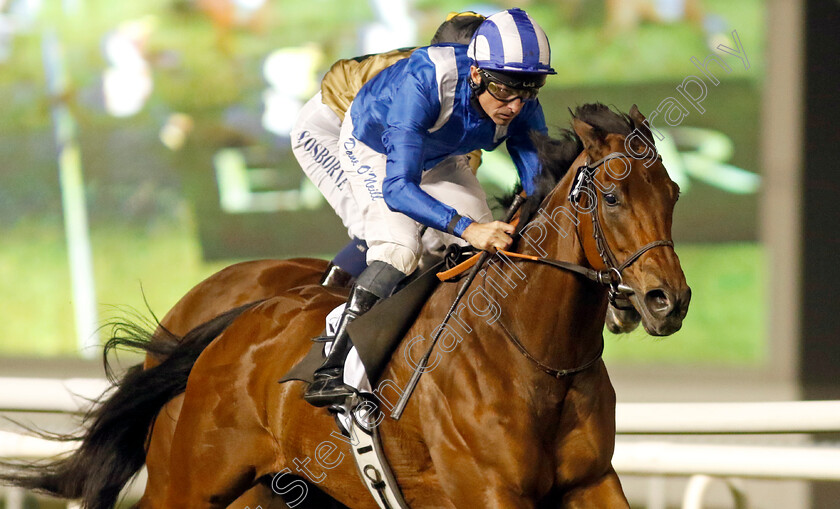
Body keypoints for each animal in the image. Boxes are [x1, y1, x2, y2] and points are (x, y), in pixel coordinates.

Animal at [1, 104, 688, 508]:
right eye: (613, 195)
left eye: (673, 191)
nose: (669, 301)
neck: (536, 356)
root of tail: (230, 329)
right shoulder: (491, 493)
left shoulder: (593, 481)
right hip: (189, 482)